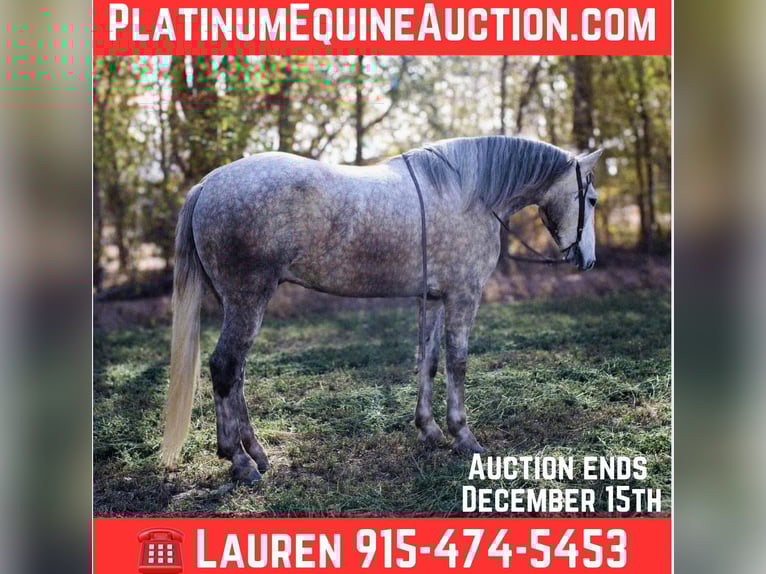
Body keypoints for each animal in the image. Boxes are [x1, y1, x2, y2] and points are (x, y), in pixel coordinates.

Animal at [159, 135, 602, 483]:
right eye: (593, 200)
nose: (588, 260)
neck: (469, 194)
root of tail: (208, 184)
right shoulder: (463, 295)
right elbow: (457, 363)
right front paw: (463, 436)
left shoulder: (433, 298)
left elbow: (429, 360)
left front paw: (429, 430)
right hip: (247, 300)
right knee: (225, 368)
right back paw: (239, 461)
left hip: (238, 304)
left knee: (236, 375)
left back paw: (256, 453)